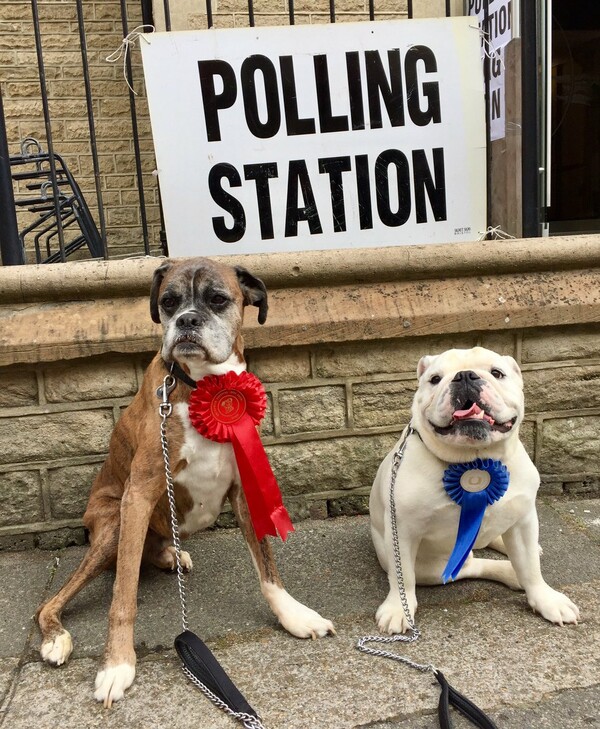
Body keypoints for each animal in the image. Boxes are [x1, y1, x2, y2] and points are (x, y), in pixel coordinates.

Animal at [37, 258, 336, 704]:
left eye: (218, 299)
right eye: (168, 301)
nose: (187, 320)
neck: (205, 386)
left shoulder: (244, 490)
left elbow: (267, 567)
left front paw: (294, 615)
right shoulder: (139, 495)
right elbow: (123, 595)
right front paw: (117, 664)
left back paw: (170, 556)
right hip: (113, 524)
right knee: (55, 599)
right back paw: (56, 637)